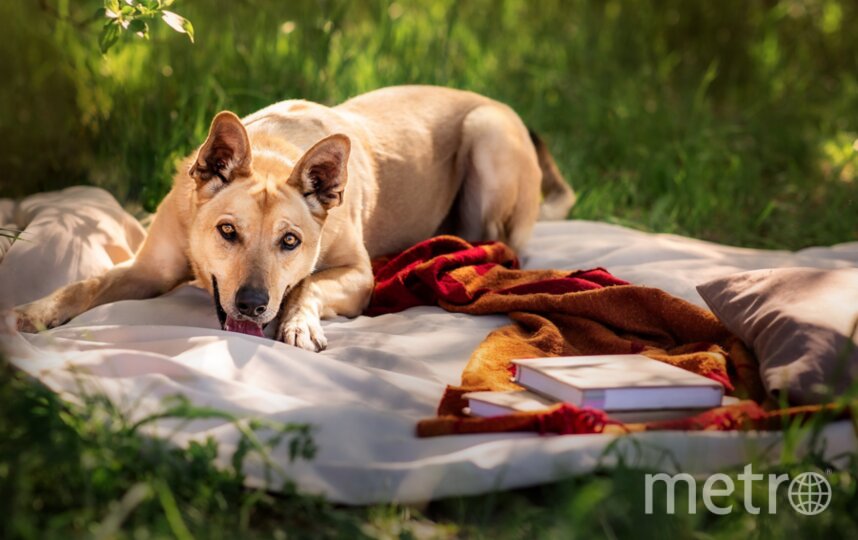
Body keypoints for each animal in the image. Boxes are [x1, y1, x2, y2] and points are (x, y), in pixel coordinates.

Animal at [13, 86, 572, 352]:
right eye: (227, 231)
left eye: (290, 241)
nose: (253, 305)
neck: (270, 153)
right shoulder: (147, 270)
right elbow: (86, 284)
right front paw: (37, 311)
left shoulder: (359, 275)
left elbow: (309, 285)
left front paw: (298, 325)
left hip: (487, 135)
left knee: (500, 246)